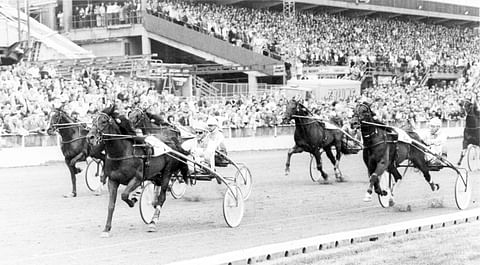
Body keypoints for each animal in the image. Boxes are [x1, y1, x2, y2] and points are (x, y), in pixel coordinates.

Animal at [88, 104, 188, 235]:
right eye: (93, 120)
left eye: (103, 121)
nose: (90, 137)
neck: (123, 153)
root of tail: (171, 142)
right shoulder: (113, 180)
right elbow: (111, 205)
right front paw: (106, 229)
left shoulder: (137, 178)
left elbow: (124, 195)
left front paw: (132, 202)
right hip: (156, 174)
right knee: (157, 192)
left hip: (167, 172)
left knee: (162, 197)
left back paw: (153, 222)